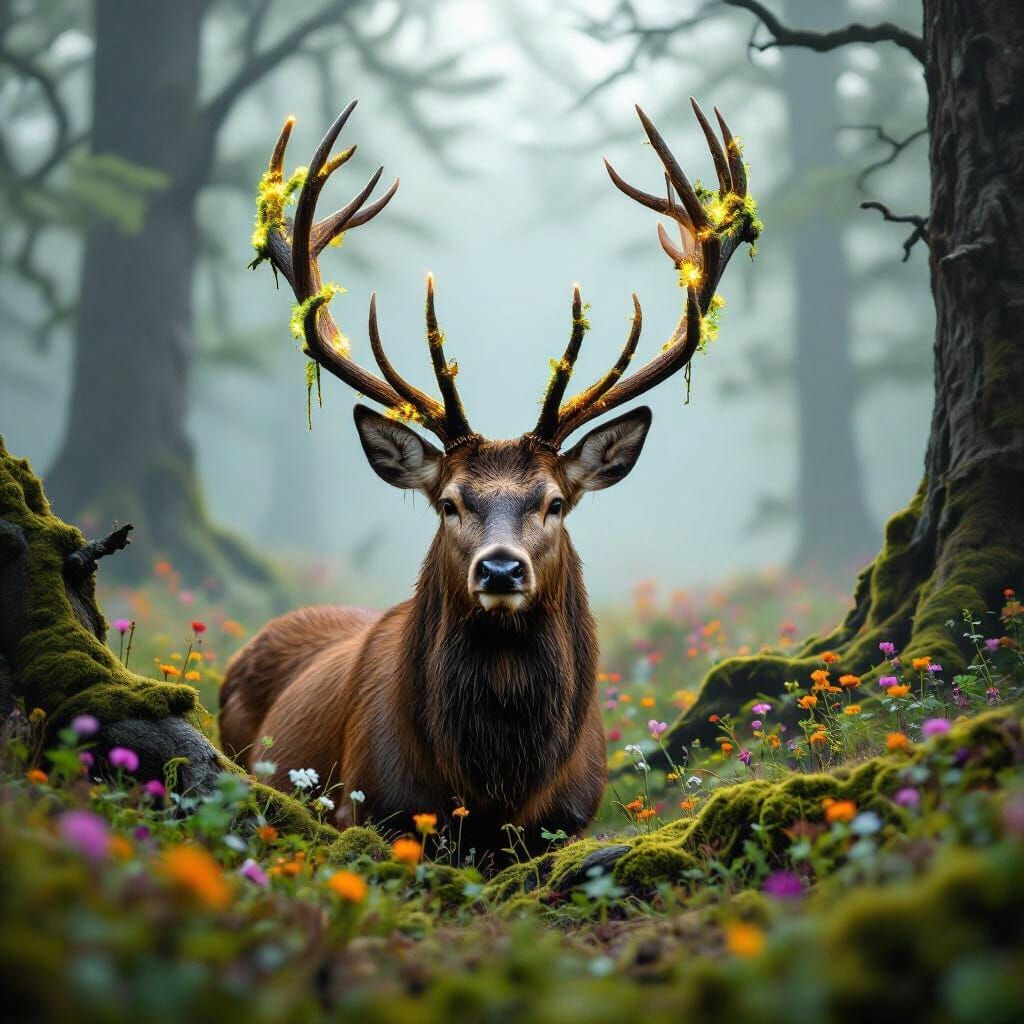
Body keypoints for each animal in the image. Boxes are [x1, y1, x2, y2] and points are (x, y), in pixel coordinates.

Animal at [219, 98, 758, 863]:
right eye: (448, 503)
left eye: (556, 503)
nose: (500, 569)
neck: (493, 791)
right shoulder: (371, 809)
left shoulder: (570, 819)